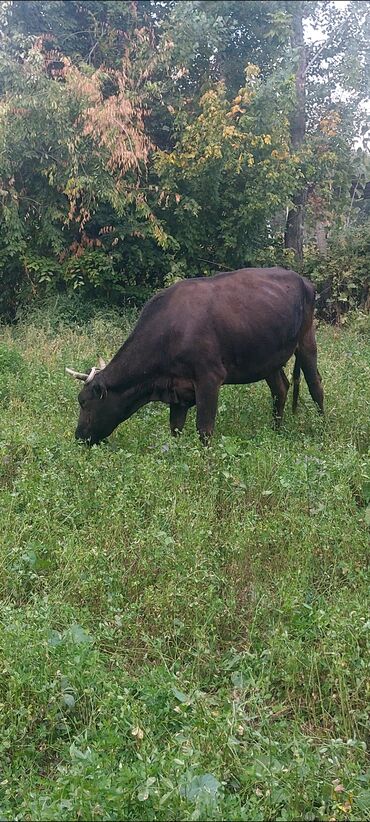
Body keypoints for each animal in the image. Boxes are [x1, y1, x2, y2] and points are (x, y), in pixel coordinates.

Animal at [66, 268, 324, 448]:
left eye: (84, 402)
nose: (79, 437)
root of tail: (303, 280)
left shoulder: (209, 378)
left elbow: (204, 429)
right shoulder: (177, 391)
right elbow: (175, 430)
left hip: (306, 340)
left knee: (315, 385)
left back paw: (322, 428)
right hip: (267, 356)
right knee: (280, 388)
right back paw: (276, 431)